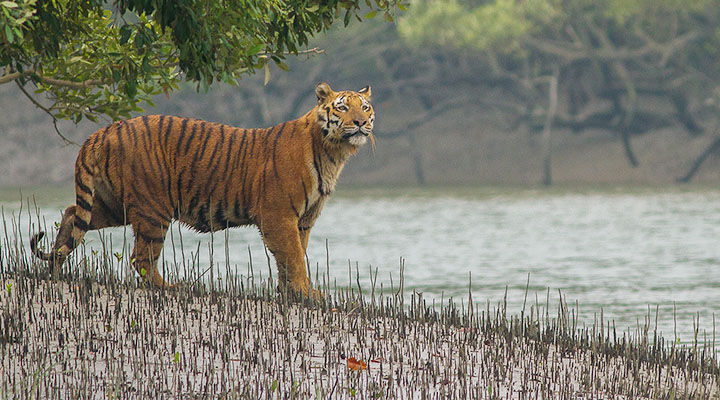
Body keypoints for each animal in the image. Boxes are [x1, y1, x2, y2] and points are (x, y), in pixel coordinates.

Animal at [30, 81, 374, 296]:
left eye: (366, 107)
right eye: (342, 108)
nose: (360, 123)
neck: (333, 152)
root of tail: (103, 131)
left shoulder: (303, 220)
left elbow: (293, 257)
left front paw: (292, 292)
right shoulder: (279, 216)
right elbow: (293, 257)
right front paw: (306, 294)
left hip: (113, 204)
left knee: (72, 214)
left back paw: (56, 269)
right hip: (153, 208)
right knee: (141, 258)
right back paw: (169, 288)